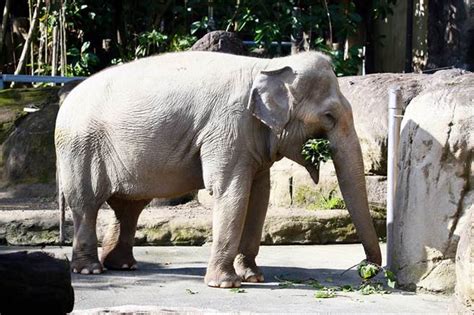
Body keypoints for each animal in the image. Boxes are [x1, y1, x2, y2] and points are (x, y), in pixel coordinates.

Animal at [55, 51, 382, 288]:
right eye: (328, 116)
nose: (367, 268)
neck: (268, 66)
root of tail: (65, 99)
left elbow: (259, 196)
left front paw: (254, 277)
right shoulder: (228, 128)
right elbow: (231, 191)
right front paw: (226, 285)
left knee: (128, 207)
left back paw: (123, 265)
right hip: (80, 147)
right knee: (86, 203)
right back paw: (90, 271)